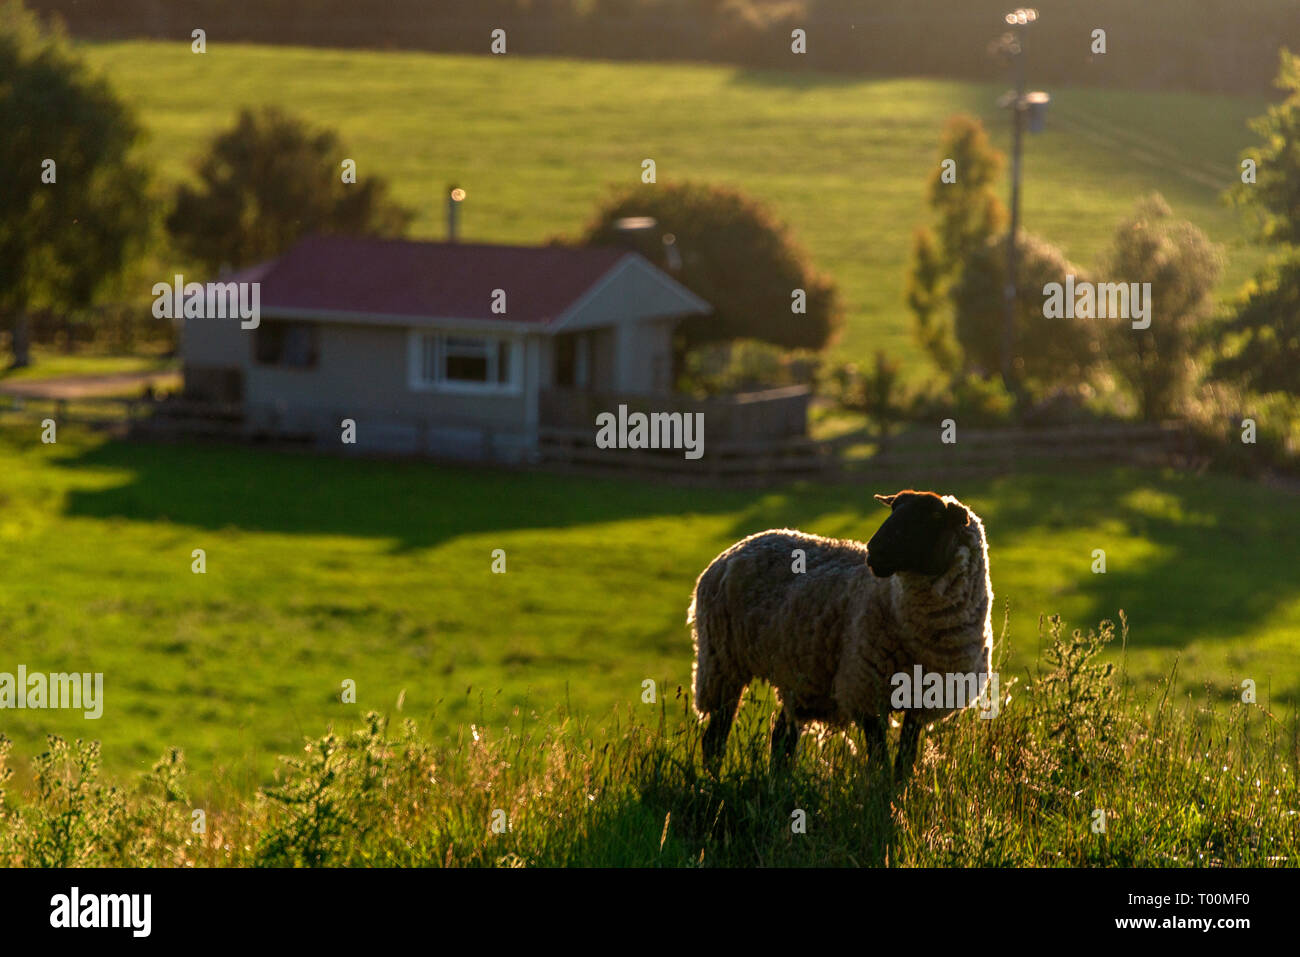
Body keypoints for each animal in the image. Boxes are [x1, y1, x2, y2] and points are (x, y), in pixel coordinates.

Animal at [691, 494, 993, 780]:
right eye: (893, 509)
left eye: (931, 517)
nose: (873, 552)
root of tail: (737, 548)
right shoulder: (865, 689)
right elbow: (879, 757)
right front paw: (881, 791)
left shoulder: (926, 699)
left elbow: (905, 759)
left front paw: (899, 790)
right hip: (722, 663)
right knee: (715, 737)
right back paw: (712, 779)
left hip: (795, 675)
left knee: (781, 740)